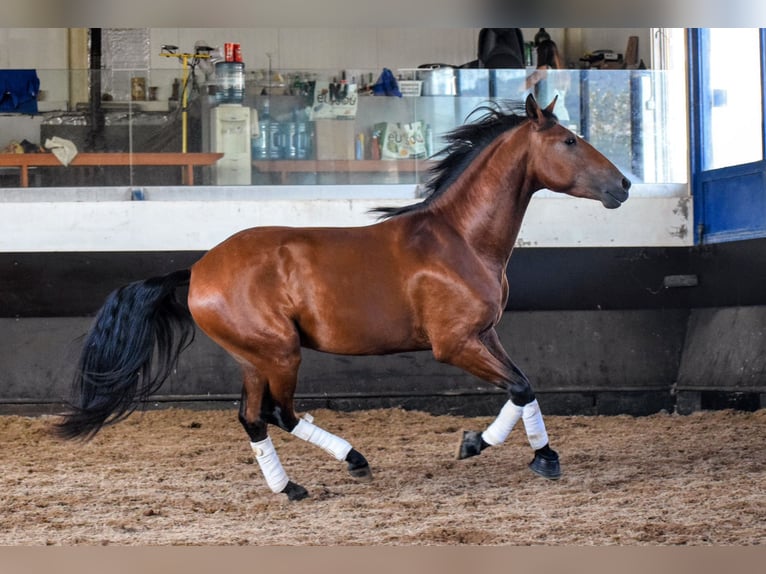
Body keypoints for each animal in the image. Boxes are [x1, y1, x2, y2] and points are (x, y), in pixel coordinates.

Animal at [55, 97, 632, 502]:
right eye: (569, 141)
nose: (623, 185)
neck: (460, 238)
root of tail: (196, 270)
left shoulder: (485, 333)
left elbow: (524, 386)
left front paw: (510, 449)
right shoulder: (455, 344)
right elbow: (519, 385)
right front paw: (514, 452)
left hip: (254, 358)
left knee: (255, 417)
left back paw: (294, 485)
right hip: (279, 352)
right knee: (278, 413)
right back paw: (347, 462)